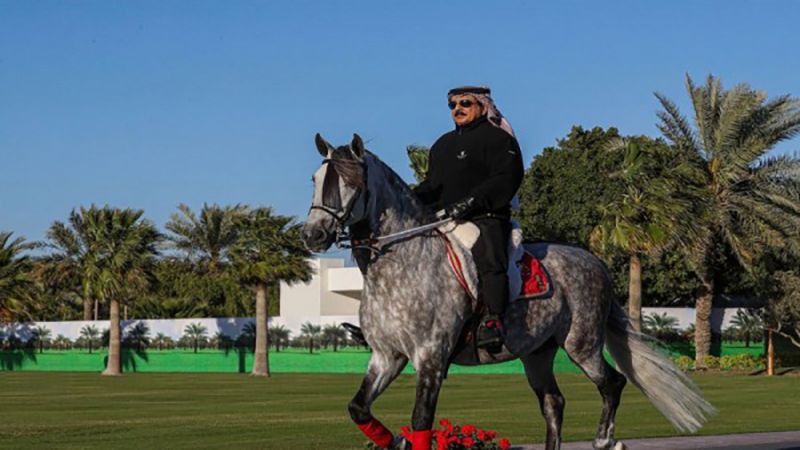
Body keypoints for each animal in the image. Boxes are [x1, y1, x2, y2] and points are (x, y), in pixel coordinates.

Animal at [304, 134, 716, 450]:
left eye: (352, 183)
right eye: (315, 178)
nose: (313, 235)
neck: (403, 264)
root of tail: (595, 262)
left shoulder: (430, 358)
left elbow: (421, 422)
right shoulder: (387, 357)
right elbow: (359, 408)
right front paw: (396, 441)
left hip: (581, 344)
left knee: (612, 383)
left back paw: (605, 440)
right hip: (537, 354)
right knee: (554, 403)